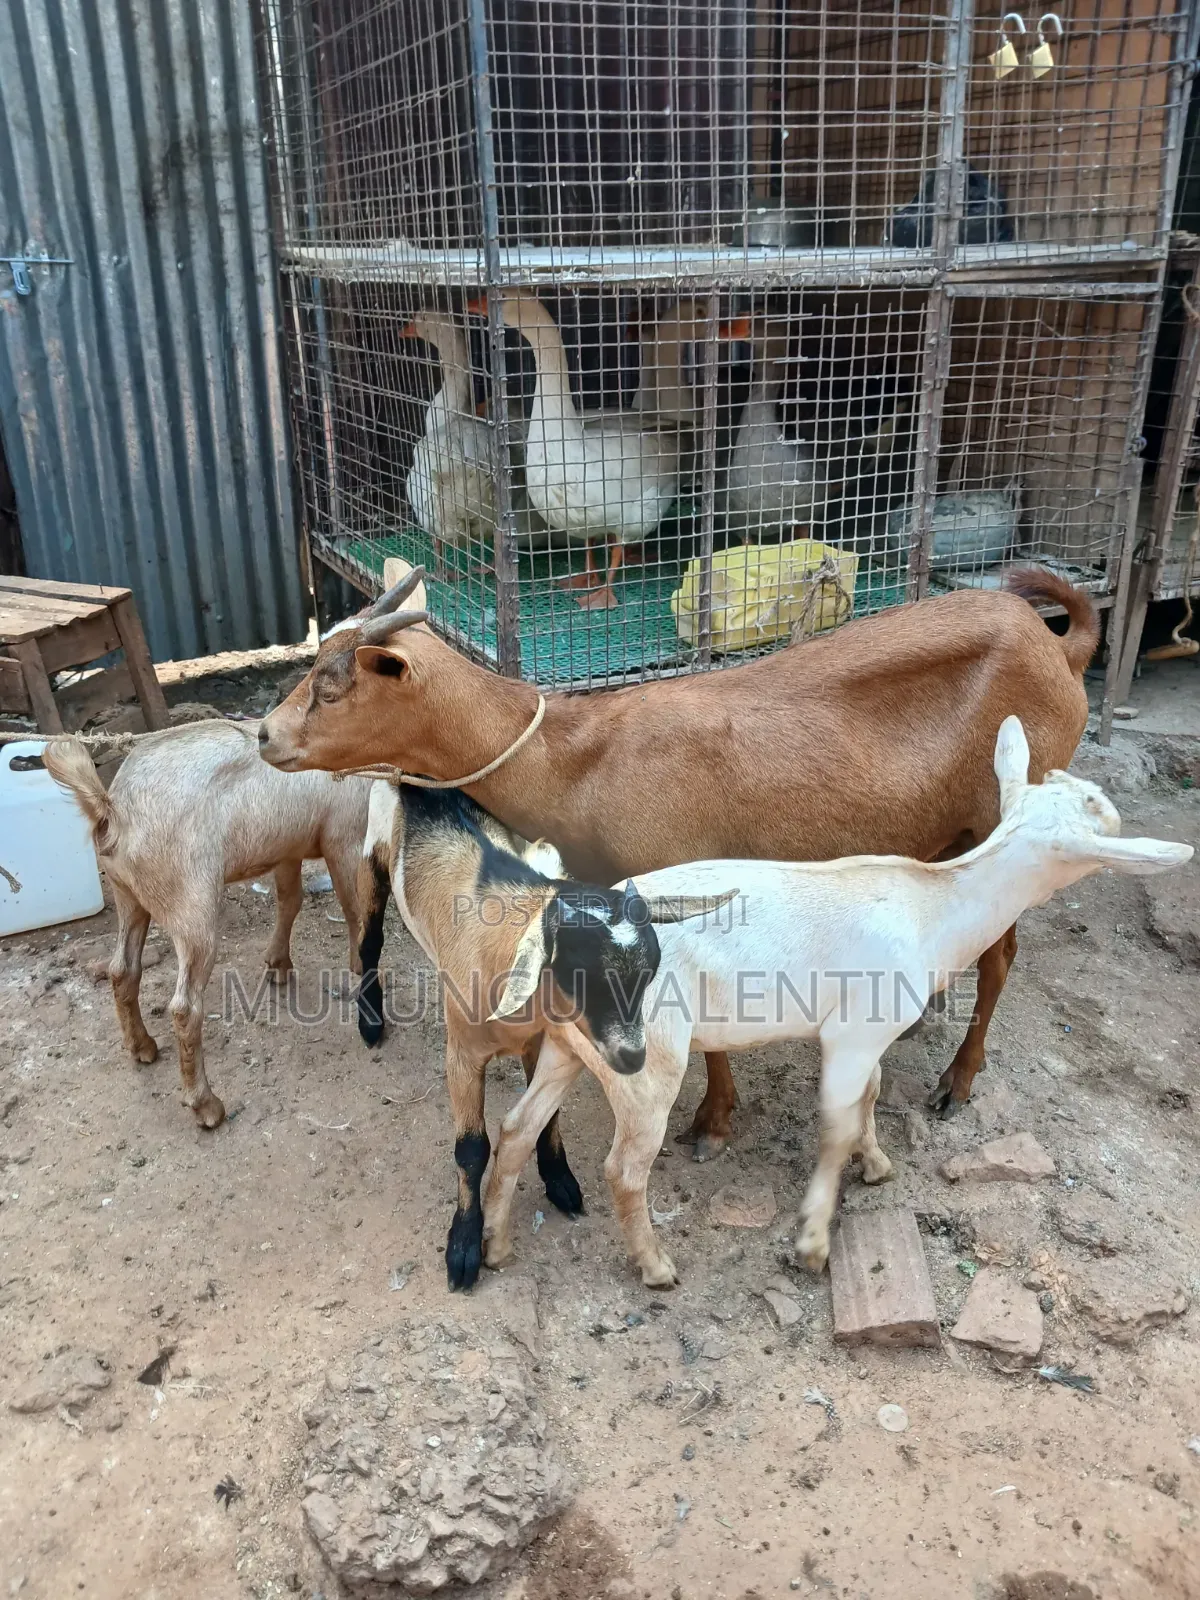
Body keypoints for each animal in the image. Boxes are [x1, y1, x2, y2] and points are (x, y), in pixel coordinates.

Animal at [43, 724, 371, 1129]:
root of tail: (113, 806)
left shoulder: (287, 847)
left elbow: (290, 900)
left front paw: (278, 965)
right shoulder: (343, 835)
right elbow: (353, 906)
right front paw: (360, 965)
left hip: (126, 893)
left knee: (122, 969)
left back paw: (142, 1048)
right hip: (193, 906)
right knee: (185, 1007)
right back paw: (207, 1106)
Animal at [258, 561, 1099, 1142]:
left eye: (333, 683)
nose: (266, 735)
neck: (578, 762)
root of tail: (1057, 645)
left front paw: (713, 1119)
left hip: (1004, 817)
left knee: (1001, 954)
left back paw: (958, 1081)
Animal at [356, 781, 729, 1289]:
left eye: (650, 973)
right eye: (582, 976)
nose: (633, 1059)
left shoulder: (542, 1042)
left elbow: (544, 1118)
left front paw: (560, 1181)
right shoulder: (462, 1054)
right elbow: (471, 1149)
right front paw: (464, 1248)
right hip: (371, 854)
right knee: (368, 936)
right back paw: (369, 1020)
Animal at [480, 718, 1193, 1286]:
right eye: (1094, 819)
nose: (1115, 813)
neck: (935, 907)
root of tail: (549, 946)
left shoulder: (868, 1031)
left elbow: (868, 1098)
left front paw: (875, 1164)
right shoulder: (851, 1033)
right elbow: (836, 1122)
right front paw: (815, 1242)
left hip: (569, 1046)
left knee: (515, 1129)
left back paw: (494, 1245)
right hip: (647, 1055)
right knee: (624, 1169)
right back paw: (654, 1267)